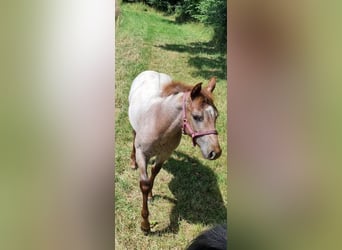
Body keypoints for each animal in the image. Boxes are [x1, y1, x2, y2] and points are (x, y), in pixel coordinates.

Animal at [128, 70, 222, 232]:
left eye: (216, 116)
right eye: (197, 117)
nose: (215, 152)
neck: (159, 122)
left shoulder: (165, 154)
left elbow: (154, 173)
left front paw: (151, 195)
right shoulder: (142, 154)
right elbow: (145, 184)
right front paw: (145, 225)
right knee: (133, 138)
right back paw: (132, 163)